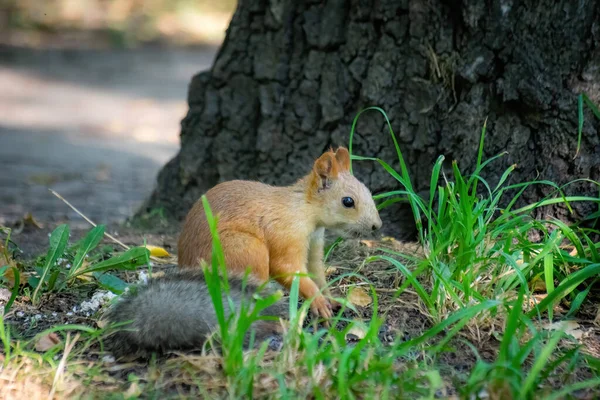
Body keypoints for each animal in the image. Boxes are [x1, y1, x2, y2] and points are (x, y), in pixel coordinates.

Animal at [176, 147, 382, 318]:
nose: (377, 225)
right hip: (244, 249)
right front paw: (318, 301)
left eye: (368, 191)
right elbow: (287, 269)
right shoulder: (286, 234)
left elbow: (317, 273)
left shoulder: (314, 242)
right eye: (347, 201)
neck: (305, 210)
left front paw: (331, 299)